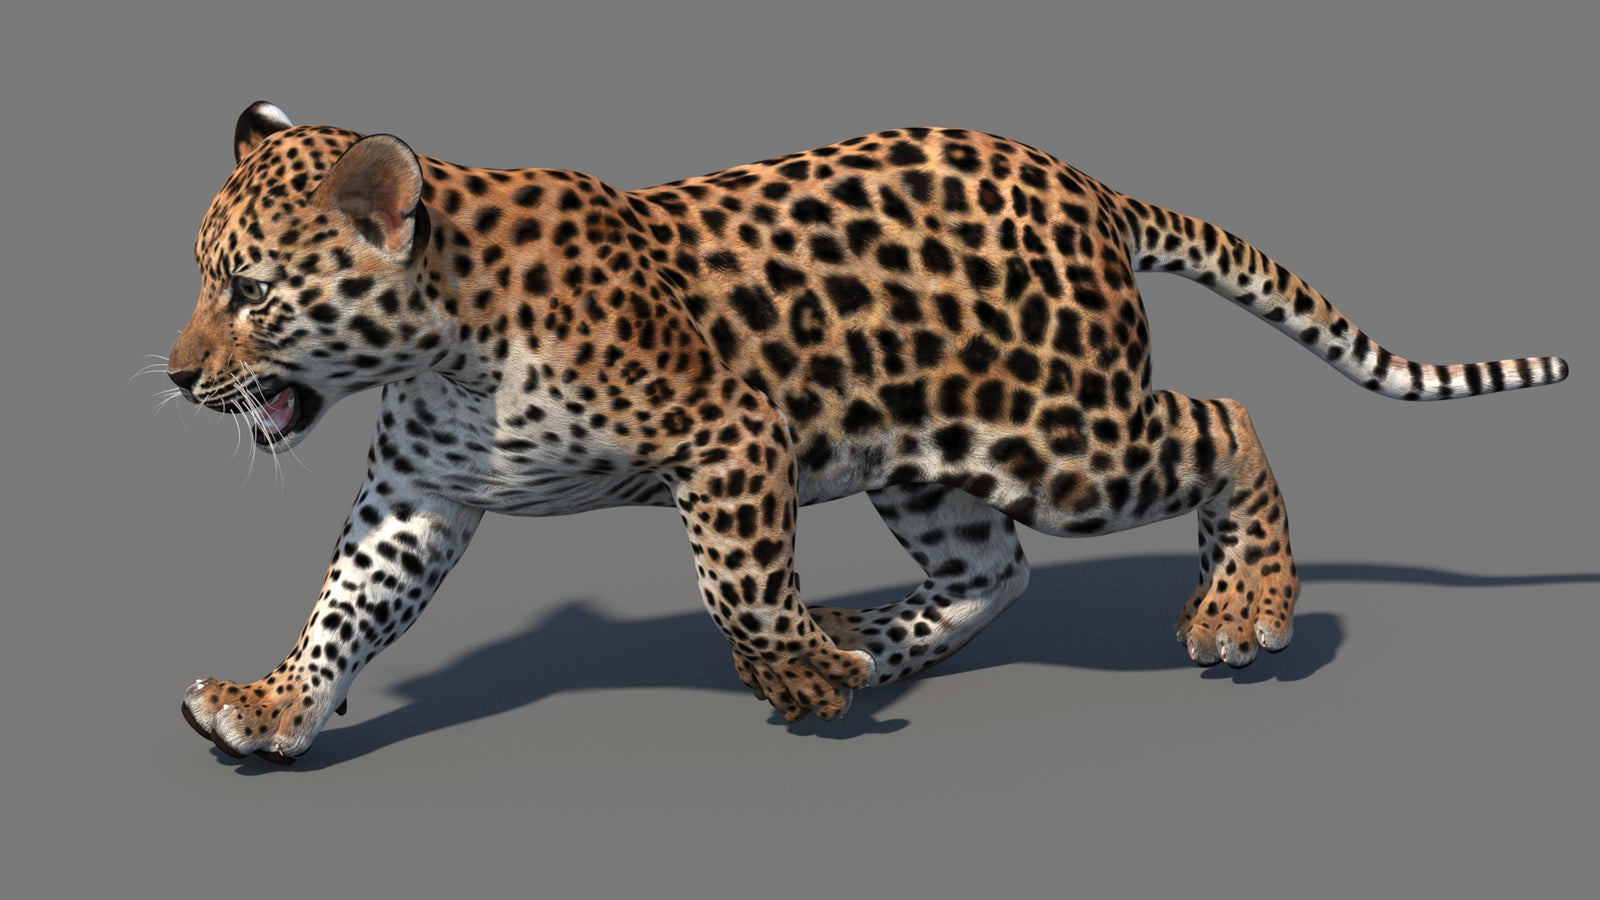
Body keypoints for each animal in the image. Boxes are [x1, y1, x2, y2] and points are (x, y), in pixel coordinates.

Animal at [167, 102, 1567, 764]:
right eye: (203, 281)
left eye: (248, 292)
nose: (178, 378)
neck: (443, 346)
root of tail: (1092, 186)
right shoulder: (419, 497)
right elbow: (347, 605)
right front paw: (270, 705)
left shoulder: (730, 433)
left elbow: (733, 579)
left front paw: (785, 669)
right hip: (930, 458)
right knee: (990, 569)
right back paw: (863, 645)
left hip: (1068, 442)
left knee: (1223, 420)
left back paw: (1244, 608)